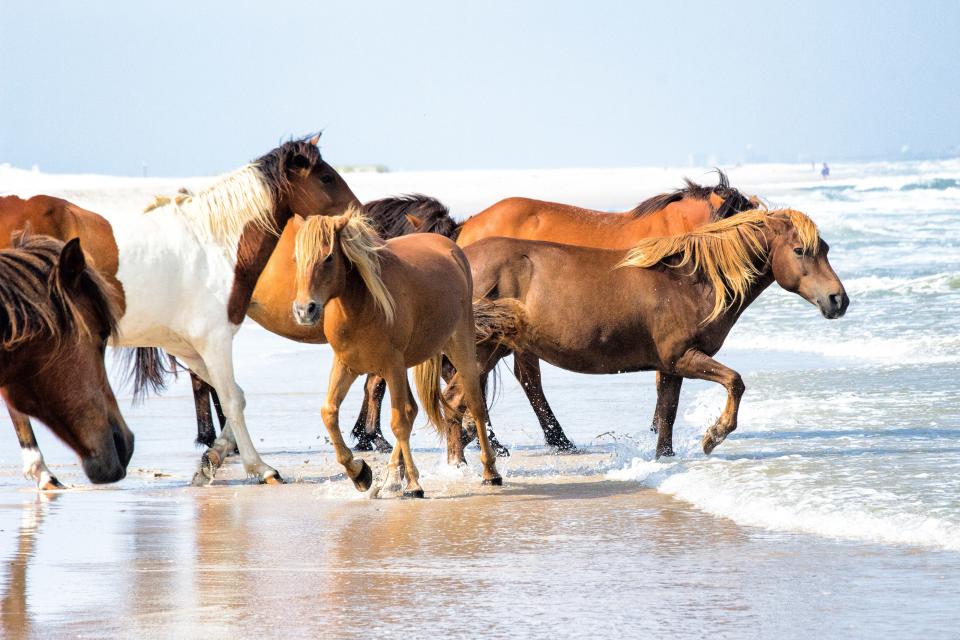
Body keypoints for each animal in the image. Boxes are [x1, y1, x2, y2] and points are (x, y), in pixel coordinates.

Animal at [292, 209, 502, 496]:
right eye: (296, 258)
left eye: (329, 257)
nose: (305, 310)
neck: (361, 306)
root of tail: (450, 247)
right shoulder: (347, 365)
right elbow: (330, 413)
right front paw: (360, 473)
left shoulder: (391, 366)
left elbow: (399, 422)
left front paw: (413, 483)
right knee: (412, 410)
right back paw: (391, 477)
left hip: (460, 347)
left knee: (475, 405)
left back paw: (490, 472)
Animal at [442, 208, 848, 462]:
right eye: (800, 250)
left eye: (826, 249)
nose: (838, 300)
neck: (689, 281)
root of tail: (459, 256)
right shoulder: (683, 358)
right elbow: (735, 382)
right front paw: (713, 436)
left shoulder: (670, 367)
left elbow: (666, 416)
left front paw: (664, 458)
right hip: (484, 351)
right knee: (456, 403)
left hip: (488, 353)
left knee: (458, 403)